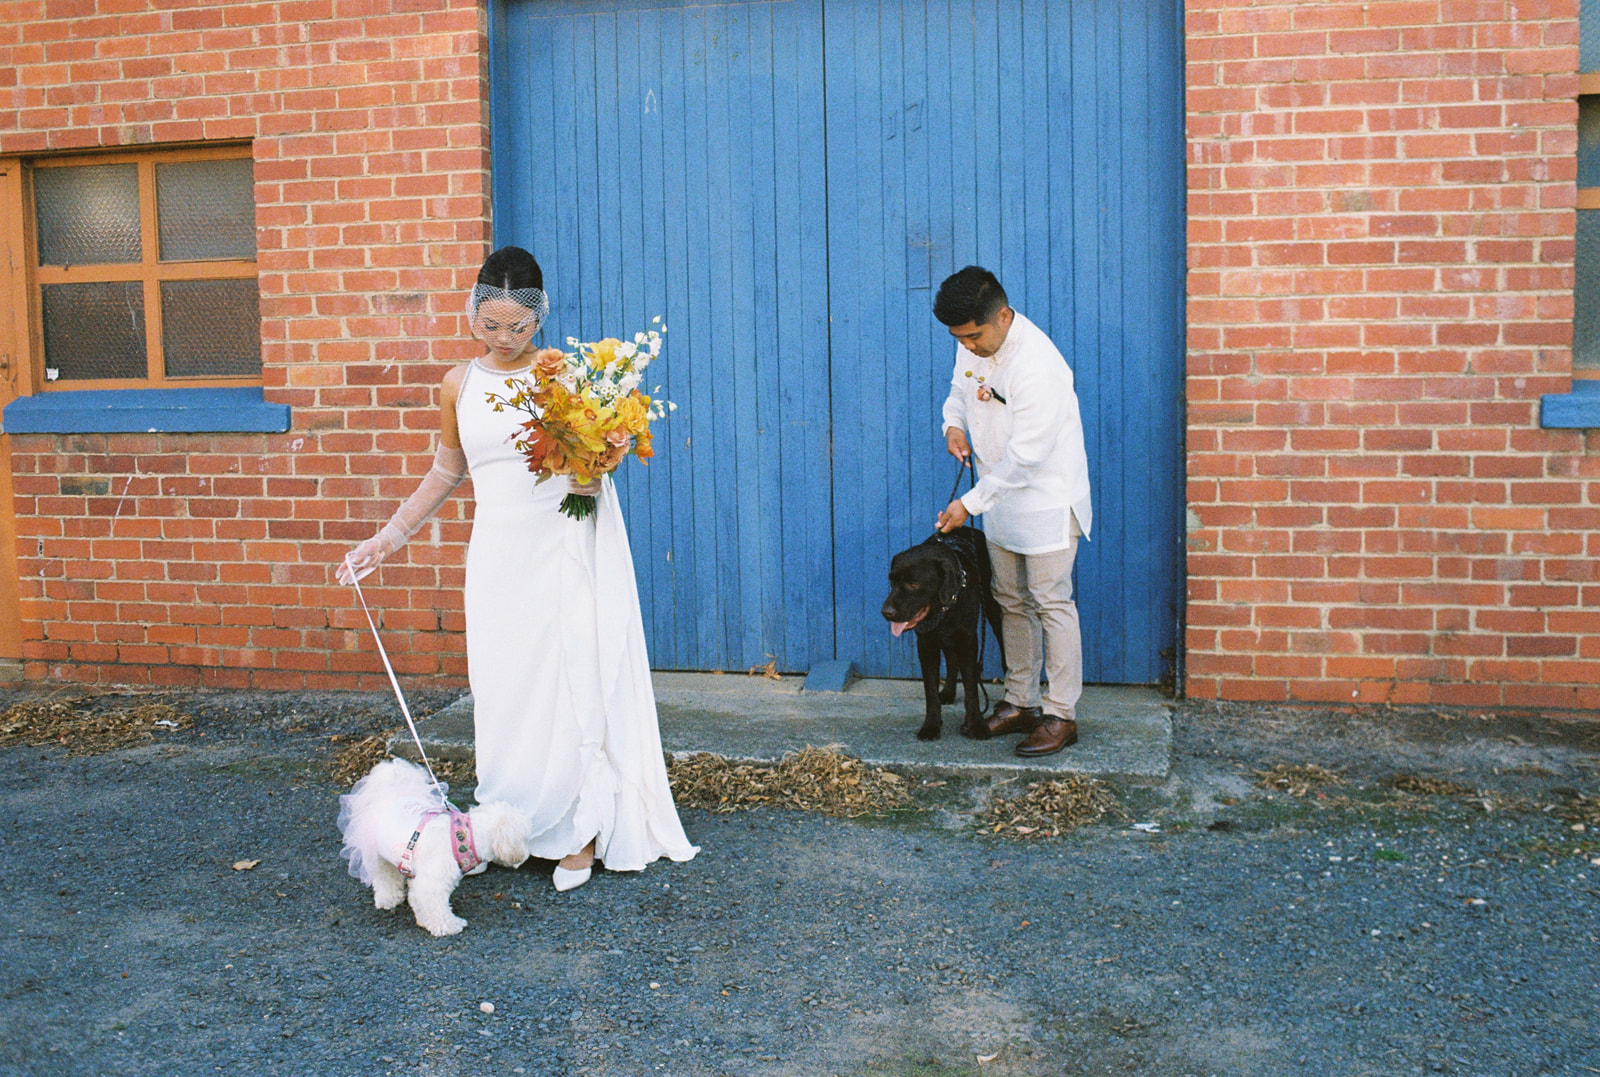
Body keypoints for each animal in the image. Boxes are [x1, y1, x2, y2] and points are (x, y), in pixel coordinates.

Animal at [334, 755, 534, 934]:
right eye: (524, 838)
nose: (526, 855)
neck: (463, 837)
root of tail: (388, 795)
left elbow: (419, 901)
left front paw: (425, 921)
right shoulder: (432, 883)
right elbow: (436, 907)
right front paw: (449, 925)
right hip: (377, 855)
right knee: (384, 877)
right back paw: (388, 899)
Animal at [883, 528, 1004, 739]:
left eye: (913, 584)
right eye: (892, 579)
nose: (886, 612)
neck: (945, 608)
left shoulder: (968, 641)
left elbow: (971, 689)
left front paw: (976, 724)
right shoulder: (926, 644)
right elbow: (930, 691)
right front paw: (931, 725)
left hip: (993, 610)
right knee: (951, 660)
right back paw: (948, 691)